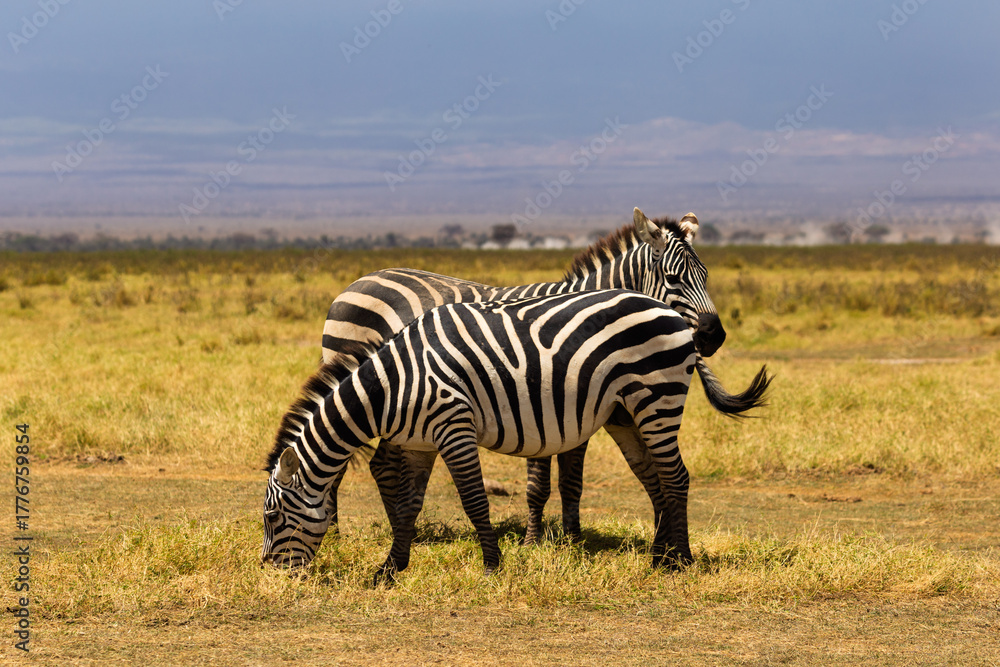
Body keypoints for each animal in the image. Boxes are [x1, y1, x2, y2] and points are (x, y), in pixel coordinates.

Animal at [261, 289, 770, 582]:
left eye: (271, 518)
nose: (270, 574)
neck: (392, 387)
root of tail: (669, 310)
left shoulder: (454, 426)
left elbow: (474, 500)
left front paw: (492, 565)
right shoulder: (418, 442)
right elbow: (408, 505)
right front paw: (389, 570)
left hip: (657, 395)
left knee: (677, 476)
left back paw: (680, 561)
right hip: (626, 411)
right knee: (656, 478)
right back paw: (660, 557)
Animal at [318, 208, 727, 543]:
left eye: (707, 275)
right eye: (673, 279)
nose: (714, 335)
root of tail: (358, 281)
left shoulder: (578, 406)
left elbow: (571, 481)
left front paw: (573, 539)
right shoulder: (541, 397)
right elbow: (539, 484)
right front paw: (533, 542)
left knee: (378, 463)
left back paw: (402, 531)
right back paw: (335, 532)